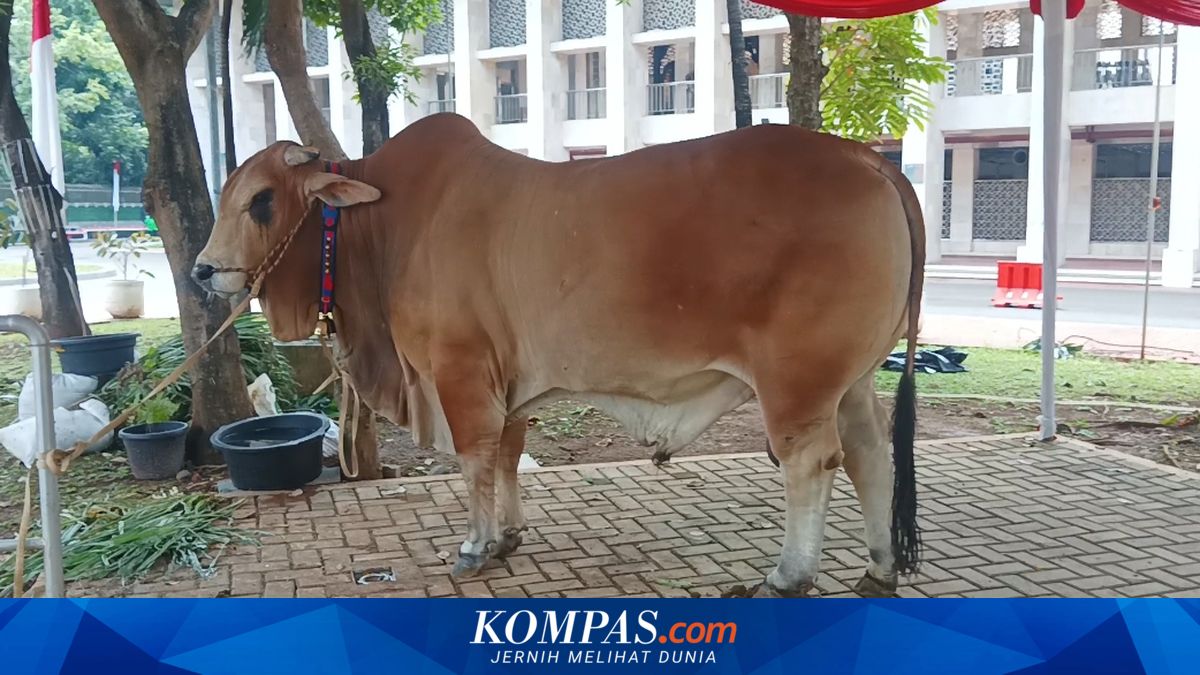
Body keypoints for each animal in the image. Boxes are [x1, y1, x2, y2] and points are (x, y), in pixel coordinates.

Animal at [194, 113, 924, 597]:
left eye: (262, 200)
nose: (203, 271)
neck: (384, 227)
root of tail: (868, 159)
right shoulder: (508, 382)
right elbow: (507, 455)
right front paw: (507, 537)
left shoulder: (459, 373)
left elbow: (475, 460)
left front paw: (474, 546)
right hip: (851, 378)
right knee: (870, 453)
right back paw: (878, 567)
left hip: (797, 382)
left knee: (812, 463)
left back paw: (787, 575)